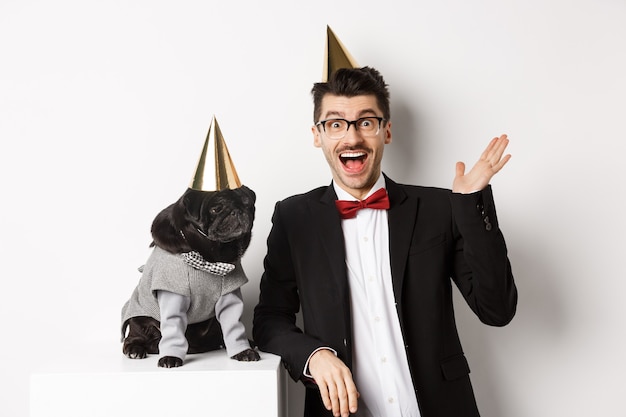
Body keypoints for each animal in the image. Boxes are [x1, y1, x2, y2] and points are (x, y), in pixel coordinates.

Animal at [120, 186, 260, 368]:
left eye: (247, 204)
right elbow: (173, 328)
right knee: (133, 337)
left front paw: (243, 351)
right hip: (139, 317)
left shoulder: (229, 296)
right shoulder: (173, 294)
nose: (237, 211)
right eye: (216, 209)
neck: (212, 256)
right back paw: (136, 349)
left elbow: (234, 326)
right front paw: (170, 357)